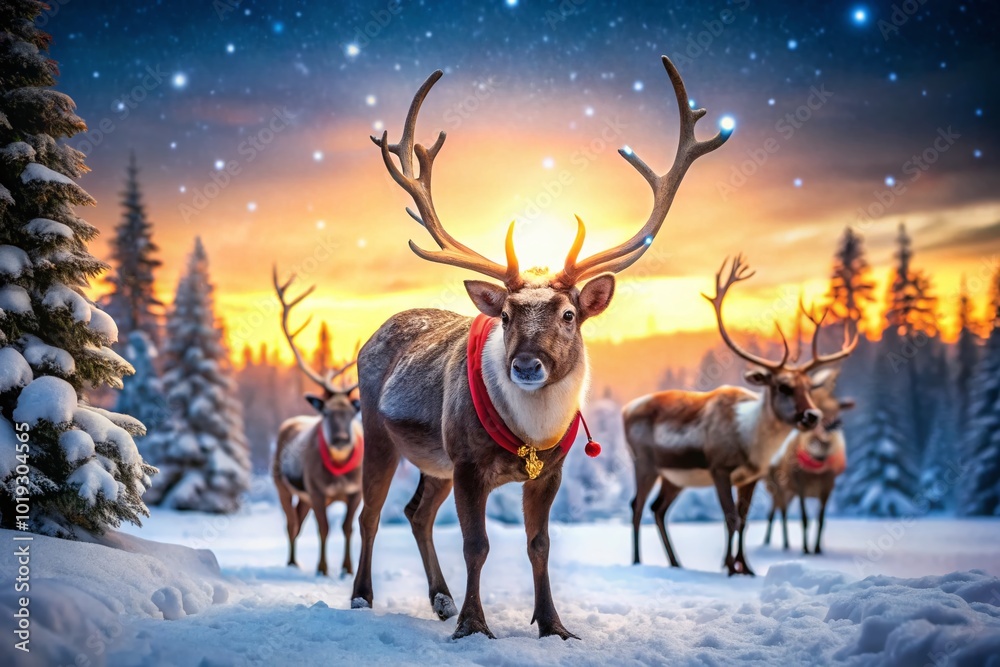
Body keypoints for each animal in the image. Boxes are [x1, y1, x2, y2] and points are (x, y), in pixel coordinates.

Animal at [271, 268, 362, 577]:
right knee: (291, 524)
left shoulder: (355, 492)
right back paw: (291, 562)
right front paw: (323, 568)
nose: (341, 440)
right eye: (326, 413)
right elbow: (324, 529)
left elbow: (347, 528)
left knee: (298, 521)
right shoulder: (317, 490)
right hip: (282, 484)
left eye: (353, 413)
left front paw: (347, 568)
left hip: (305, 496)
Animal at [349, 56, 731, 640]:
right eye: (505, 316)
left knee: (417, 512)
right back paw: (363, 597)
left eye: (569, 315)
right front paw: (473, 625)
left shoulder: (550, 470)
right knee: (370, 514)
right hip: (379, 428)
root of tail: (373, 334)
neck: (529, 434)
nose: (527, 364)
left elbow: (539, 545)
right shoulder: (468, 462)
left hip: (434, 459)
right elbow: (477, 545)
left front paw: (553, 625)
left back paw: (439, 598)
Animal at [764, 363, 855, 555]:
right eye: (818, 409)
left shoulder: (828, 485)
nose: (830, 428)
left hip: (787, 491)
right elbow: (804, 518)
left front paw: (818, 548)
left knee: (776, 510)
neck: (816, 468)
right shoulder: (800, 484)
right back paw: (781, 544)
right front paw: (806, 549)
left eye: (836, 410)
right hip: (778, 487)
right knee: (780, 512)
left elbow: (821, 519)